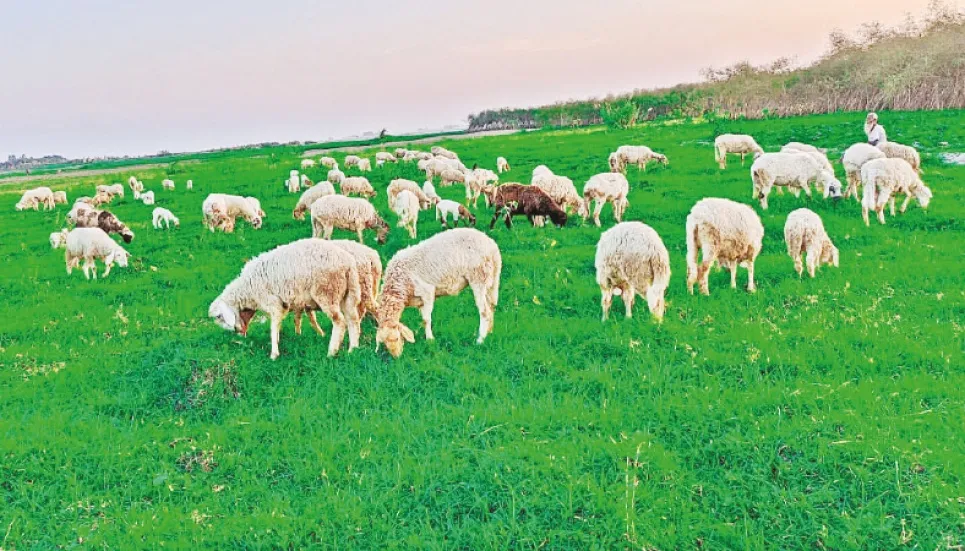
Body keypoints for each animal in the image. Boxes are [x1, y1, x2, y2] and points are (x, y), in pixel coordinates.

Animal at [209, 238, 364, 360]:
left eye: (219, 317)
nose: (235, 332)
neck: (247, 290)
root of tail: (347, 263)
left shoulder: (273, 303)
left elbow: (273, 327)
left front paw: (274, 354)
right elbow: (278, 326)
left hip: (327, 292)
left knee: (340, 322)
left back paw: (332, 351)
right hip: (349, 293)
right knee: (353, 320)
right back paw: (353, 349)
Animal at [374, 227, 500, 358]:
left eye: (397, 338)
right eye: (385, 343)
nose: (397, 357)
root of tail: (492, 246)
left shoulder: (427, 292)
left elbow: (426, 319)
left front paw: (430, 340)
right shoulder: (420, 300)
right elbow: (424, 319)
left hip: (478, 277)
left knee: (484, 311)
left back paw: (480, 340)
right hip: (491, 279)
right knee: (491, 306)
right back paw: (489, 332)